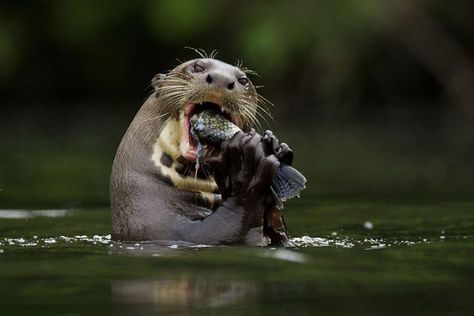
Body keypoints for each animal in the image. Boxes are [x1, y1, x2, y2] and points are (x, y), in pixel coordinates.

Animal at [111, 56, 296, 246]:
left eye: (243, 80)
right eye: (198, 67)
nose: (222, 79)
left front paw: (276, 145)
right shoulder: (162, 227)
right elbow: (229, 226)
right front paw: (246, 170)